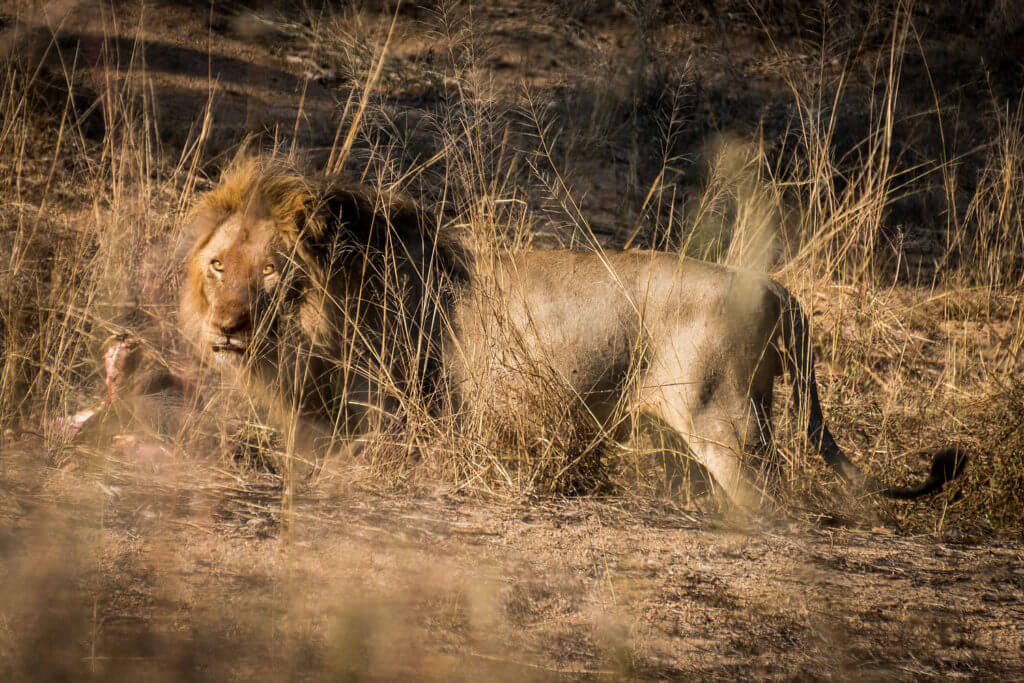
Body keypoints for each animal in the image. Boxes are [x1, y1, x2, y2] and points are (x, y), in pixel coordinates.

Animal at [180, 158, 962, 511]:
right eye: (218, 266)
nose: (225, 329)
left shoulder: (391, 427)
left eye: (273, 271)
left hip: (726, 425)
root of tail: (775, 286)